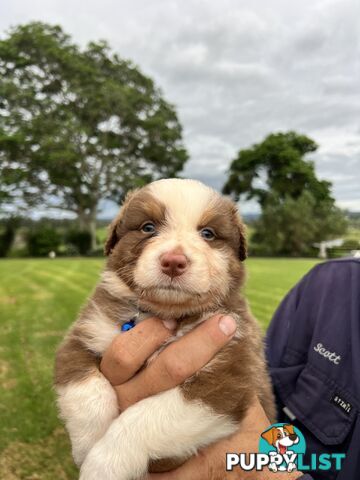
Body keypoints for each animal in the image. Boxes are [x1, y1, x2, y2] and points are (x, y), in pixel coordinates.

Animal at [53, 179, 274, 480]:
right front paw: (88, 444)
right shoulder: (85, 334)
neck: (165, 313)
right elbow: (87, 390)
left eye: (208, 233)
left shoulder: (226, 377)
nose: (173, 261)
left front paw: (103, 464)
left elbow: (146, 417)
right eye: (148, 227)